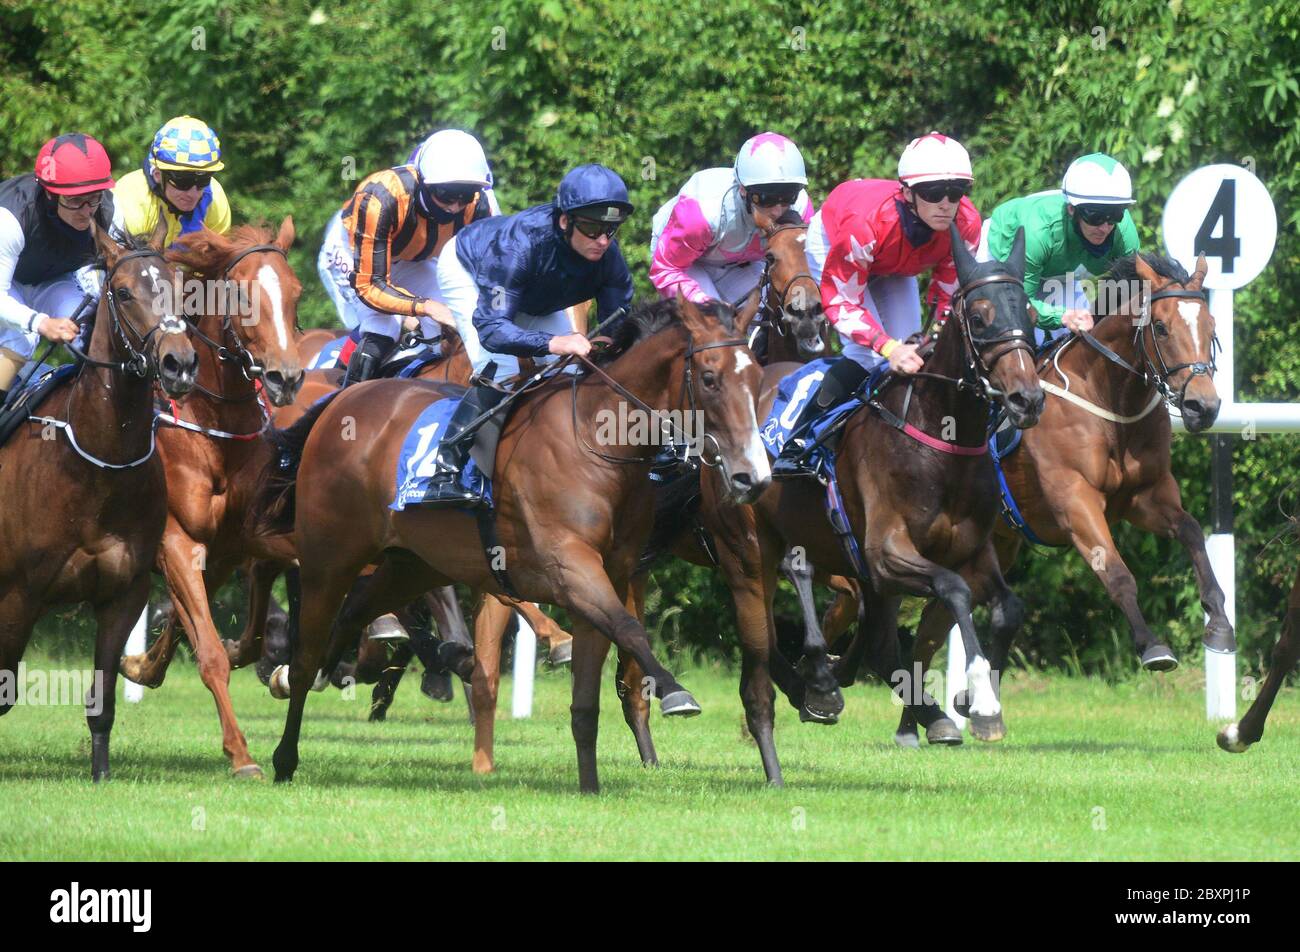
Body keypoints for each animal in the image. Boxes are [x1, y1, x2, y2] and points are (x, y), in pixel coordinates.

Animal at [0, 223, 196, 780]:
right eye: (124, 292)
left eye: (182, 289)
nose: (179, 363)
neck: (97, 463)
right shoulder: (19, 594)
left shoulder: (123, 594)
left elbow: (102, 699)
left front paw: (101, 773)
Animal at [258, 295, 769, 790]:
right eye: (710, 379)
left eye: (757, 377)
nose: (753, 476)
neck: (597, 442)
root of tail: (340, 400)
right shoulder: (571, 568)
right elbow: (629, 629)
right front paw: (674, 691)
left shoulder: (610, 574)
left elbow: (587, 699)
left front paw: (589, 785)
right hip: (329, 556)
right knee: (308, 651)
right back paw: (284, 753)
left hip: (412, 565)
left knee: (353, 614)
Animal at [894, 252, 1227, 743]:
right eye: (1162, 327)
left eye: (1211, 326)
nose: (1204, 407)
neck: (1110, 401)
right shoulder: (1076, 502)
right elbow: (1116, 572)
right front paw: (1153, 647)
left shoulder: (1147, 498)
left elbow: (1191, 531)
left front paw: (1219, 624)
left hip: (986, 546)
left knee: (931, 626)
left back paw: (936, 717)